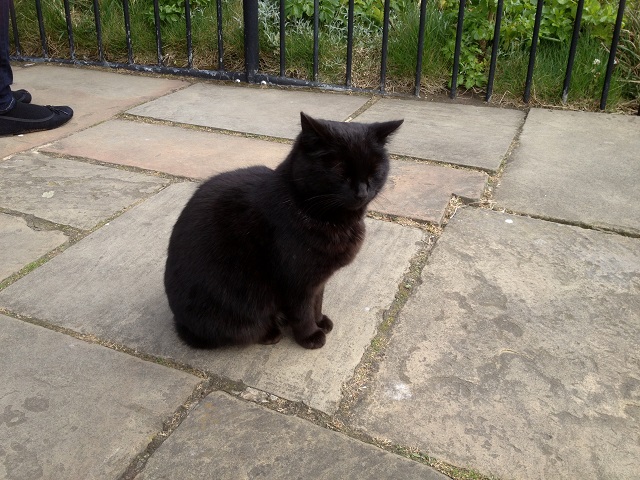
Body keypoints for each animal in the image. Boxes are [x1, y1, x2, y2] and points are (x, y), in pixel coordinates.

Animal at [162, 114, 402, 350]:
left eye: (374, 171)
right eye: (340, 171)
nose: (362, 192)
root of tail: (180, 323)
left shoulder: (318, 281)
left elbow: (317, 302)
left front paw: (320, 320)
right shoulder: (296, 282)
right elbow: (303, 311)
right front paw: (310, 335)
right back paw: (271, 332)